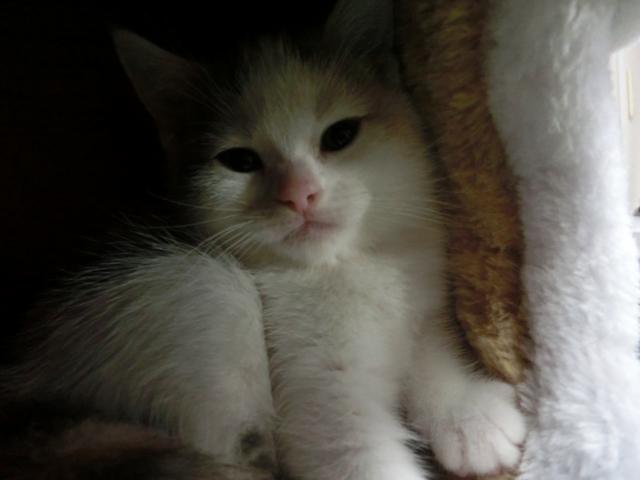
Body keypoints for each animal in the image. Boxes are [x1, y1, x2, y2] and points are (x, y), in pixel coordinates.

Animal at [1, 0, 526, 478]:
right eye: (239, 160)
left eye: (340, 135)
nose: (299, 194)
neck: (342, 267)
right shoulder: (320, 393)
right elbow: (354, 450)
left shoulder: (419, 302)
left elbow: (428, 349)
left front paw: (469, 417)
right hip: (198, 282)